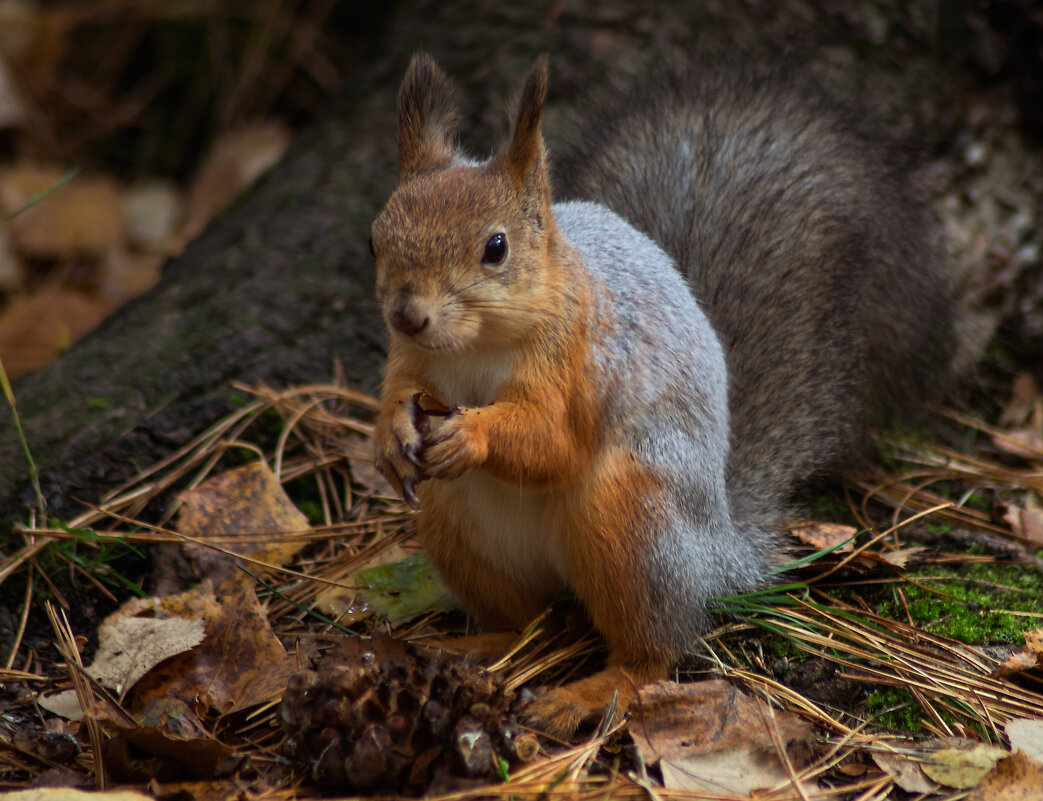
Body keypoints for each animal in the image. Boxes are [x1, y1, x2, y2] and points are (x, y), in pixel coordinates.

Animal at [367, 53, 955, 734]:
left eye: (496, 247)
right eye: (375, 237)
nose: (407, 315)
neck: (475, 347)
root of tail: (719, 554)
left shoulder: (582, 361)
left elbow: (556, 445)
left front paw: (473, 431)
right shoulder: (411, 361)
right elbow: (400, 395)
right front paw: (390, 435)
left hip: (630, 523)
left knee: (655, 652)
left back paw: (592, 692)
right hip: (455, 529)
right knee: (528, 621)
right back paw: (474, 646)